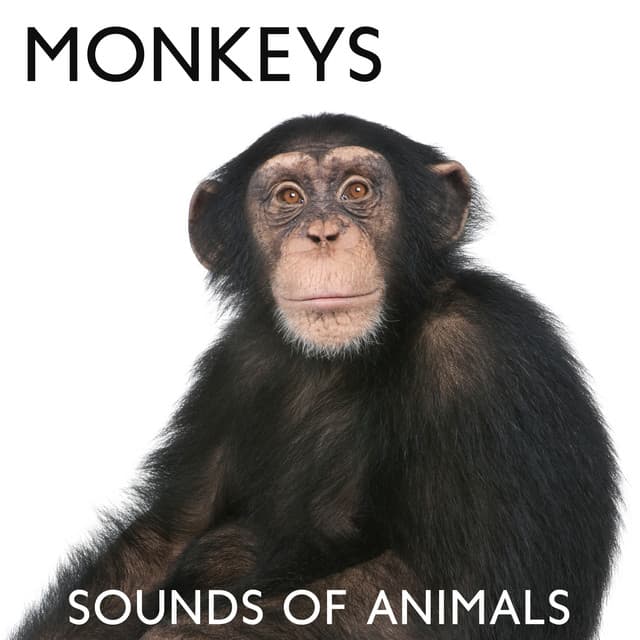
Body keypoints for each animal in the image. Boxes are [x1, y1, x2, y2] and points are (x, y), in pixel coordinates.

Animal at [12, 114, 619, 640]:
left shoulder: (481, 356)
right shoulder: (234, 364)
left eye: (357, 191)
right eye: (289, 197)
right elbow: (163, 542)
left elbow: (462, 594)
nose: (324, 233)